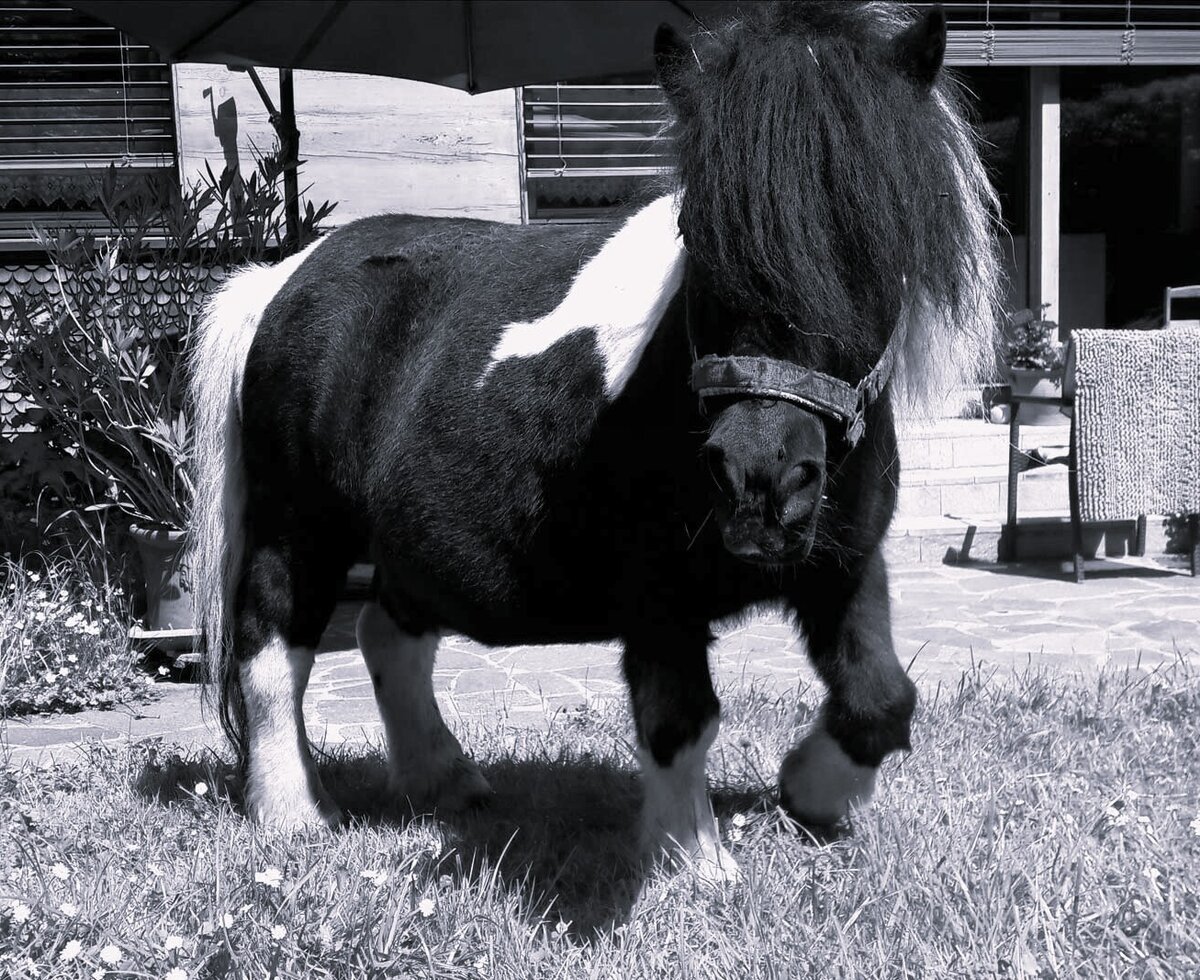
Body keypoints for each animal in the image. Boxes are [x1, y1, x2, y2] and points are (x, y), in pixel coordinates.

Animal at [190, 1, 1000, 883]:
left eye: (876, 232)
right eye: (698, 230)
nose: (760, 479)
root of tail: (281, 277)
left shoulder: (846, 565)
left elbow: (880, 698)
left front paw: (808, 792)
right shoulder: (655, 592)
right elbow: (680, 715)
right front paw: (693, 859)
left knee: (388, 636)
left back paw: (445, 779)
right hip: (297, 527)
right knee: (272, 649)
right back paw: (293, 815)